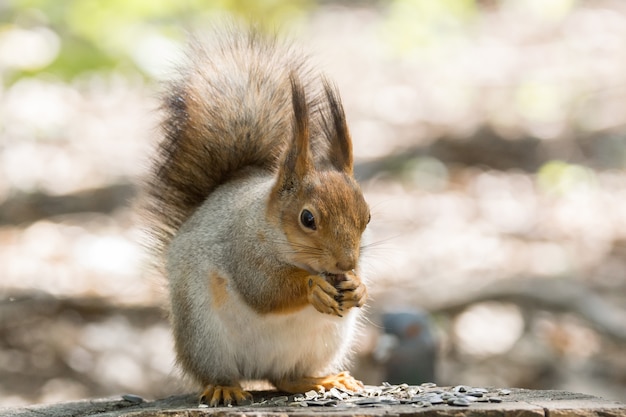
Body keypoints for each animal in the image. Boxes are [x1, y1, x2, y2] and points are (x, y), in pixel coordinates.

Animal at [141, 26, 370, 406]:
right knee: (220, 371)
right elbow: (262, 290)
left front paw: (358, 286)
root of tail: (256, 369)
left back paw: (322, 379)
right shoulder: (242, 248)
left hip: (322, 342)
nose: (346, 263)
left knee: (286, 378)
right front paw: (312, 286)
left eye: (367, 217)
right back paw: (224, 387)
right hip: (205, 336)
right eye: (308, 219)